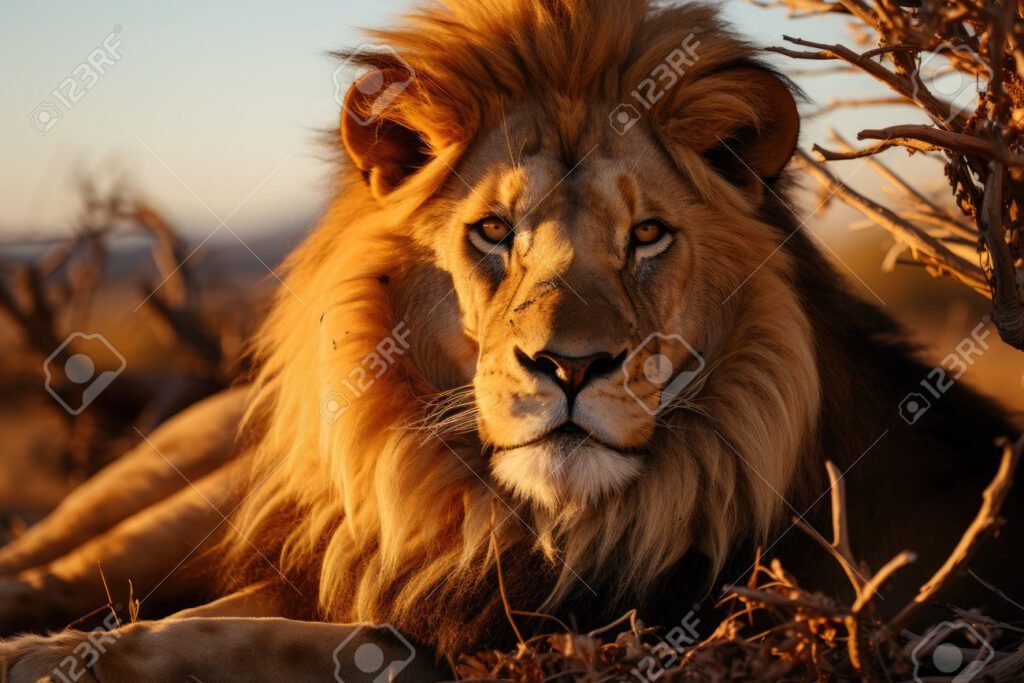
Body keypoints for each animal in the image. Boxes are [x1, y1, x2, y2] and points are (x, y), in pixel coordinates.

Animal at [2, 0, 1020, 679]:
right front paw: (45, 653)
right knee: (44, 563)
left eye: (647, 235)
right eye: (493, 232)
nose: (571, 365)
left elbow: (300, 634)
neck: (523, 517)